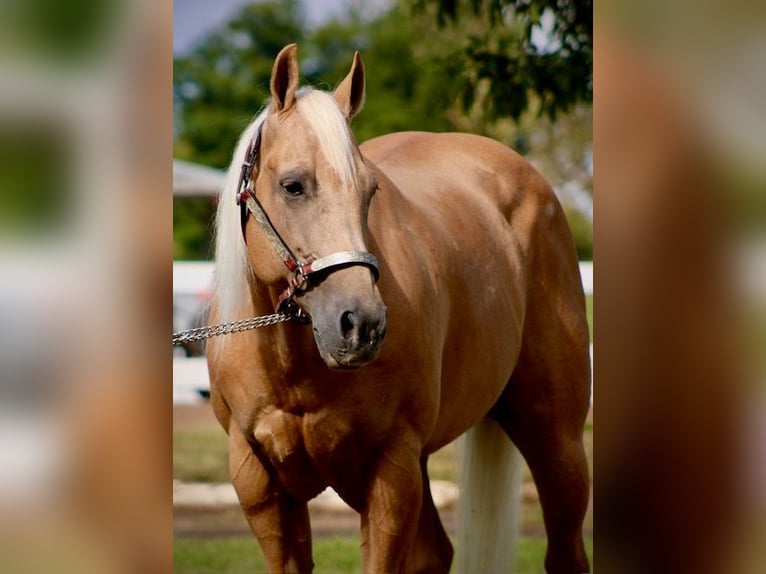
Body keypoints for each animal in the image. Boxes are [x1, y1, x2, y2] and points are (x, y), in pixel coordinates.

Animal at [206, 44, 591, 574]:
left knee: (565, 548)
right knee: (435, 551)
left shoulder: (391, 467)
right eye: (293, 185)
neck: (293, 364)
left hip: (557, 437)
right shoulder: (257, 481)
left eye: (370, 191)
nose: (361, 324)